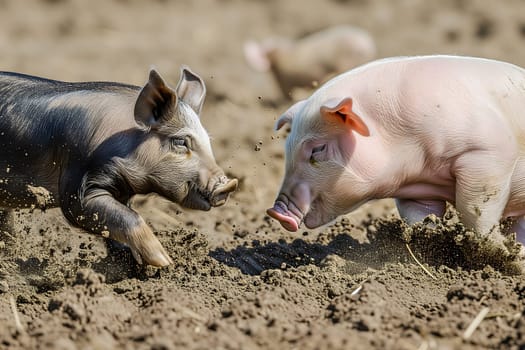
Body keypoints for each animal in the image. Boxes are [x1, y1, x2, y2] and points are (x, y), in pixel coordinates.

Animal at [268, 54, 524, 246]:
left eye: (317, 149)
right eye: (287, 151)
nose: (274, 211)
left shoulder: (487, 153)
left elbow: (474, 210)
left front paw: (497, 250)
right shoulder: (416, 192)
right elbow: (419, 217)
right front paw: (427, 239)